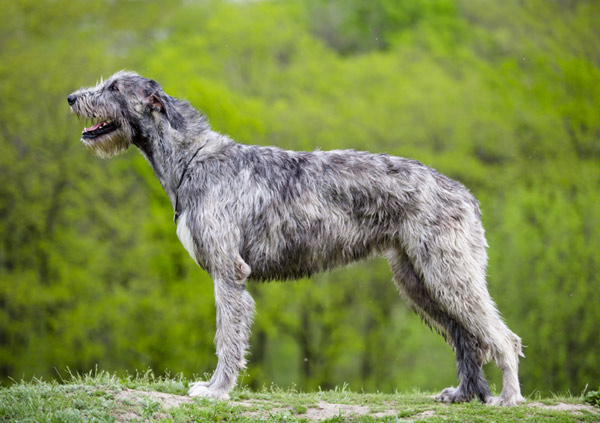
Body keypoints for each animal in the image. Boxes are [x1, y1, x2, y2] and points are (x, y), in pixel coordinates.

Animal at [67, 71, 524, 406]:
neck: (192, 158)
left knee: (503, 338)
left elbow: (227, 337)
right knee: (467, 338)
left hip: (448, 272)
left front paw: (215, 390)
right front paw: (216, 388)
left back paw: (507, 399)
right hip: (418, 280)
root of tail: (465, 194)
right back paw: (465, 394)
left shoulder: (228, 272)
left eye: (113, 87)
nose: (72, 98)